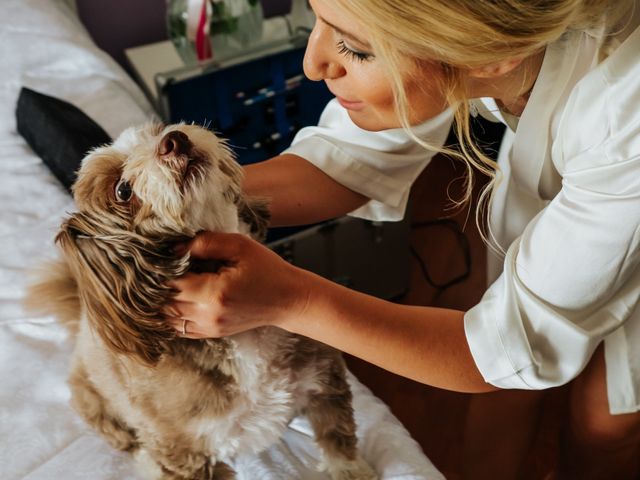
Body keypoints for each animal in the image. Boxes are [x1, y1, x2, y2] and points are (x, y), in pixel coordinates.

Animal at [27, 124, 378, 480]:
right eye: (122, 190)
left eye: (156, 131)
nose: (173, 140)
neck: (243, 339)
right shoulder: (186, 454)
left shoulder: (324, 381)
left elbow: (336, 436)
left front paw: (350, 470)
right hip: (96, 402)